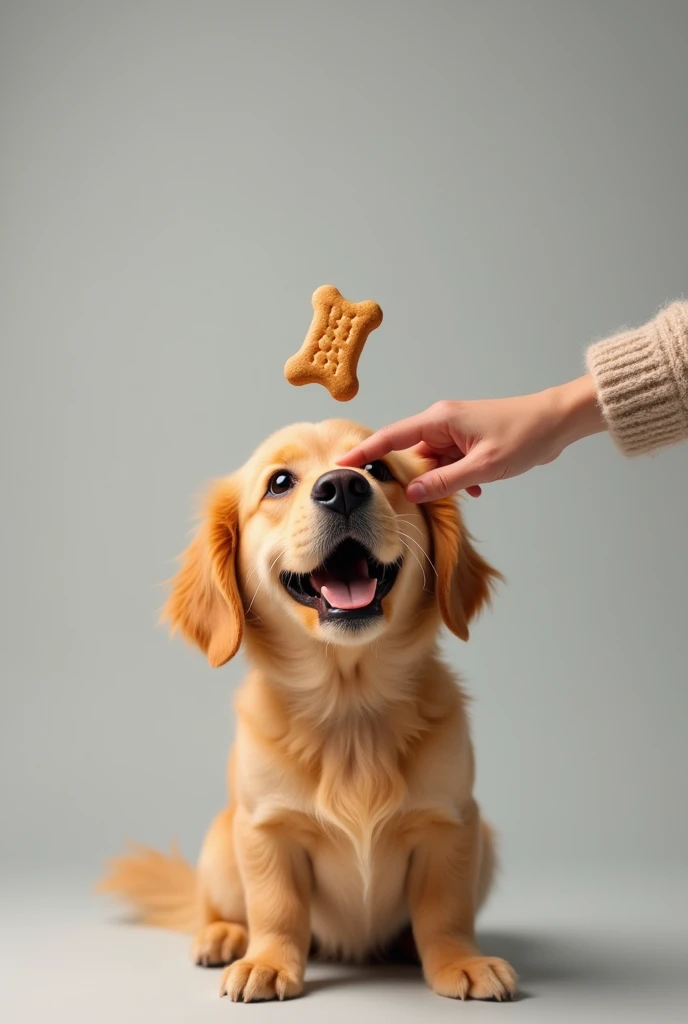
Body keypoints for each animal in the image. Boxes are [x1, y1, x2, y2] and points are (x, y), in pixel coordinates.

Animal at [100, 415, 516, 999]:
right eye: (279, 483)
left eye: (378, 468)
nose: (342, 486)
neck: (350, 704)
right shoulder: (266, 831)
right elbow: (277, 908)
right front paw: (269, 963)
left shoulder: (453, 824)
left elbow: (444, 911)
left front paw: (461, 960)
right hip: (221, 845)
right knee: (217, 908)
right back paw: (224, 936)